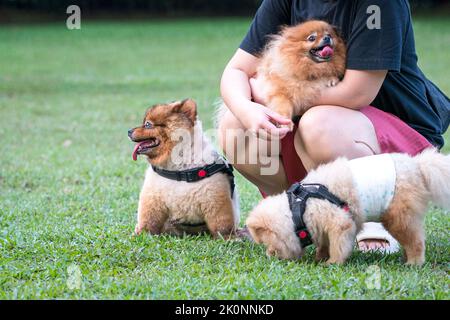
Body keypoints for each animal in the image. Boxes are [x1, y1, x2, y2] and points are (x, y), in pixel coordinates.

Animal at [127, 99, 239, 238]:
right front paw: (140, 234)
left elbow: (222, 224)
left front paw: (228, 238)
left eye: (148, 124)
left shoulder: (215, 199)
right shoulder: (152, 200)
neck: (178, 170)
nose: (128, 131)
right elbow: (147, 221)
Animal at [246, 150, 450, 264]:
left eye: (267, 243)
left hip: (398, 217)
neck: (298, 208)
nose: (269, 255)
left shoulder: (340, 223)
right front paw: (320, 258)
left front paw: (332, 263)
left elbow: (338, 246)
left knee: (416, 242)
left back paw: (414, 263)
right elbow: (324, 244)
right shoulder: (322, 225)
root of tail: (417, 166)